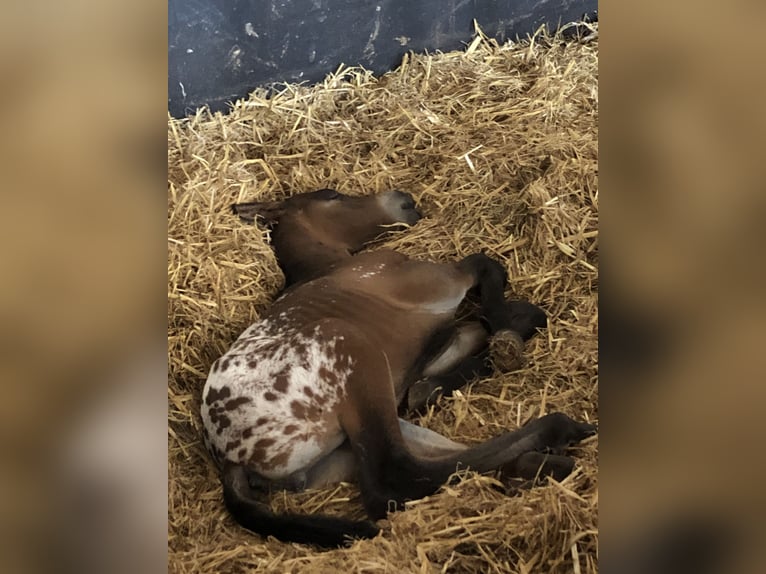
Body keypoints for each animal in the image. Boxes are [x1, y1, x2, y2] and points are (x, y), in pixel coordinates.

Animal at [201, 190, 596, 548]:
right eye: (332, 196)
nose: (404, 199)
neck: (330, 267)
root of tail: (229, 456)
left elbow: (476, 334)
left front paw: (432, 384)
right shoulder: (445, 281)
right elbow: (495, 276)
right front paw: (505, 342)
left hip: (344, 446)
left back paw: (535, 464)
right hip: (352, 349)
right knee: (393, 480)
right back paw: (557, 431)